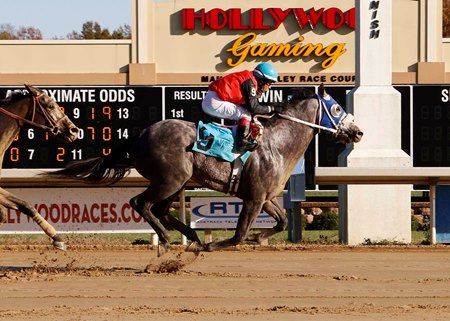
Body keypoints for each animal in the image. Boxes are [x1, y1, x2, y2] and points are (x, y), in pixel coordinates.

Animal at [46, 85, 362, 255]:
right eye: (336, 109)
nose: (358, 132)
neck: (277, 144)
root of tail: (139, 135)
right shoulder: (253, 198)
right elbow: (237, 235)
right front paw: (212, 246)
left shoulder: (266, 198)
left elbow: (283, 222)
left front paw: (259, 237)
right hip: (170, 180)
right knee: (141, 203)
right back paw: (168, 239)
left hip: (178, 183)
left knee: (159, 210)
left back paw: (189, 236)